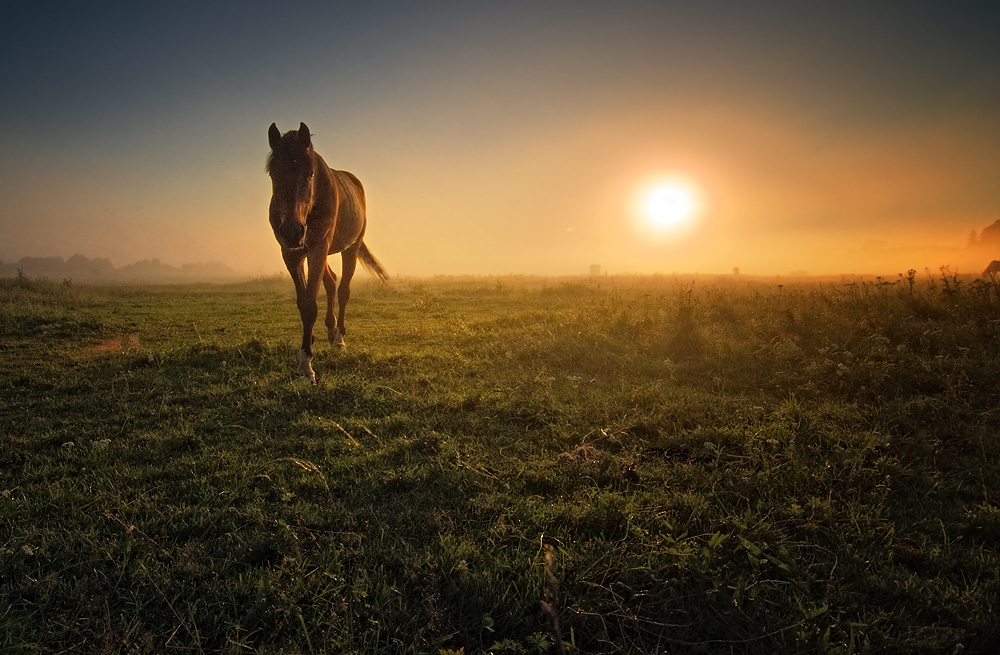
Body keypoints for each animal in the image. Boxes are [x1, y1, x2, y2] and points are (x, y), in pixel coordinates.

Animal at [266, 121, 386, 384]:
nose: (292, 231)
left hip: (349, 248)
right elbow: (303, 301)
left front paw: (306, 365)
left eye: (310, 174)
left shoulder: (317, 248)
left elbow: (310, 304)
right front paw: (307, 345)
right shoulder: (291, 253)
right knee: (331, 283)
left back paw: (339, 338)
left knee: (343, 290)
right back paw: (330, 331)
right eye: (273, 173)